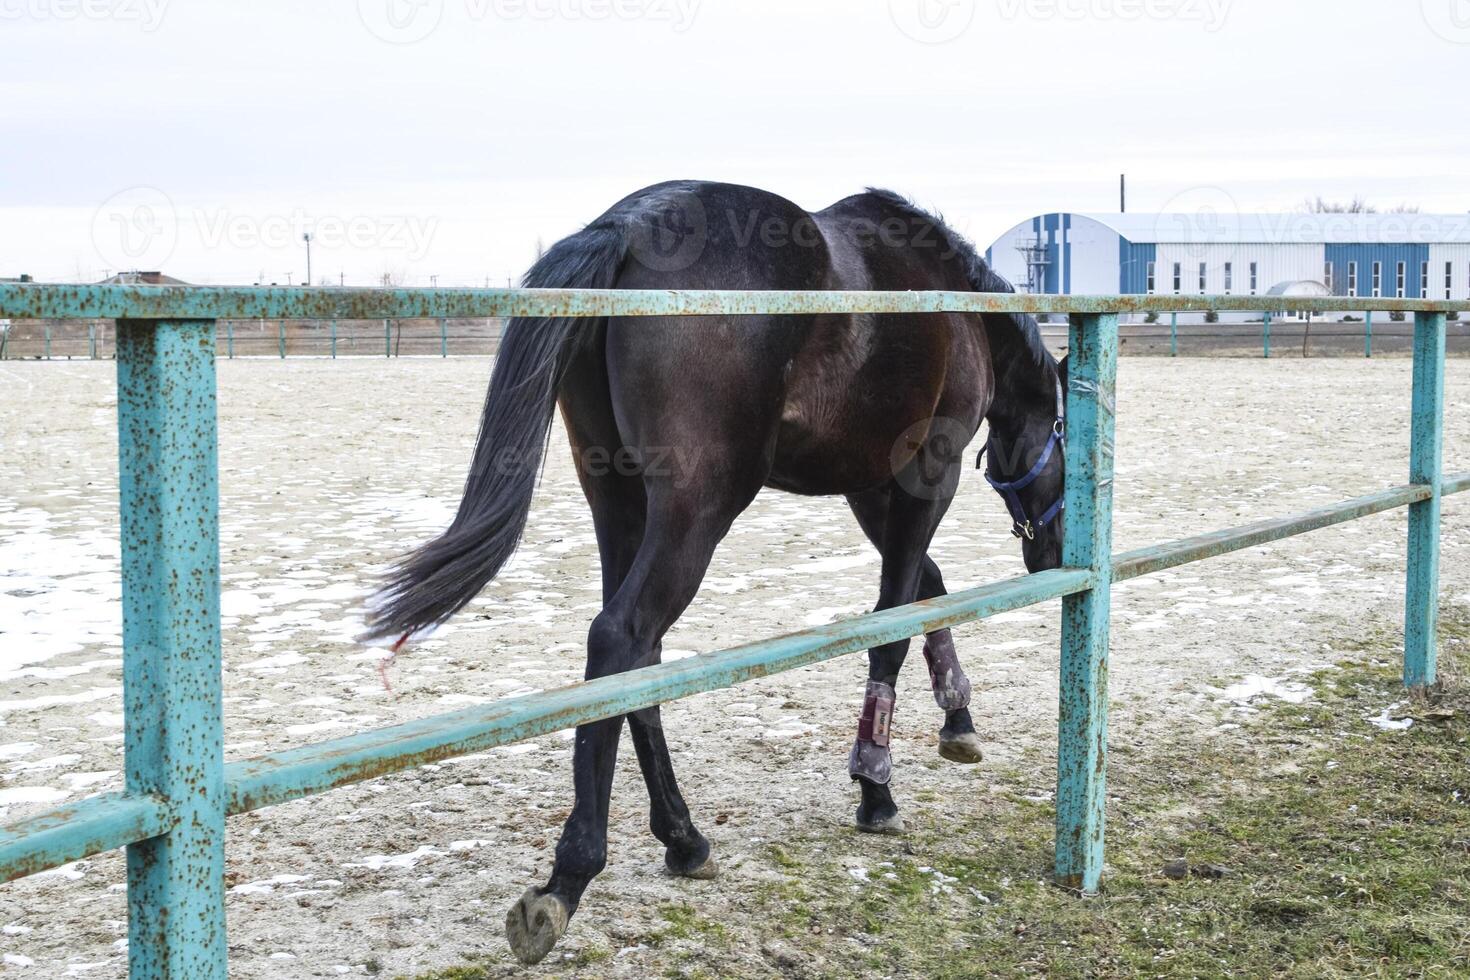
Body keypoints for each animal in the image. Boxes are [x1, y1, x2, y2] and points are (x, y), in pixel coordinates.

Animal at [361, 179, 1064, 963]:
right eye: (1066, 429)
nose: (1052, 550)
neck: (948, 300)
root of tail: (628, 226)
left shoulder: (871, 489)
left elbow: (926, 592)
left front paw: (957, 720)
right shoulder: (923, 480)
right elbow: (893, 627)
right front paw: (875, 788)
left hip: (620, 504)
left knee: (635, 654)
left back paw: (682, 837)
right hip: (696, 512)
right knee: (623, 636)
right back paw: (570, 876)